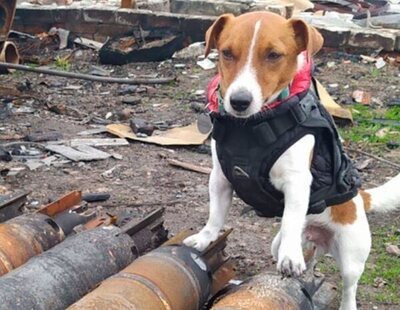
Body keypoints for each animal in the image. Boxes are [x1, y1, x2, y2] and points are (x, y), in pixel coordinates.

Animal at [184, 10, 400, 308]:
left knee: (349, 287)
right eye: (226, 53)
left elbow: (290, 218)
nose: (239, 101)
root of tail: (360, 199)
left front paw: (290, 256)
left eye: (274, 55)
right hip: (296, 243)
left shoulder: (297, 182)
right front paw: (205, 239)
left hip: (351, 255)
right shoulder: (220, 178)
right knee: (309, 256)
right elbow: (215, 215)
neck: (251, 127)